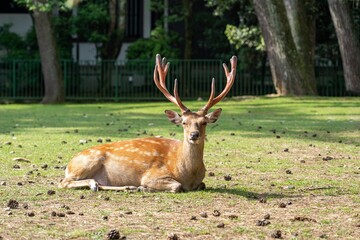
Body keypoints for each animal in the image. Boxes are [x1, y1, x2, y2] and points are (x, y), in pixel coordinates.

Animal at [58, 54, 236, 193]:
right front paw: (145, 187)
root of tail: (68, 164)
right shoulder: (152, 175)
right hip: (87, 163)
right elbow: (177, 186)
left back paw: (127, 187)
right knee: (63, 182)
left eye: (204, 122)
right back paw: (97, 184)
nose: (194, 135)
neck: (187, 173)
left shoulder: (200, 181)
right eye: (184, 122)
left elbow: (203, 184)